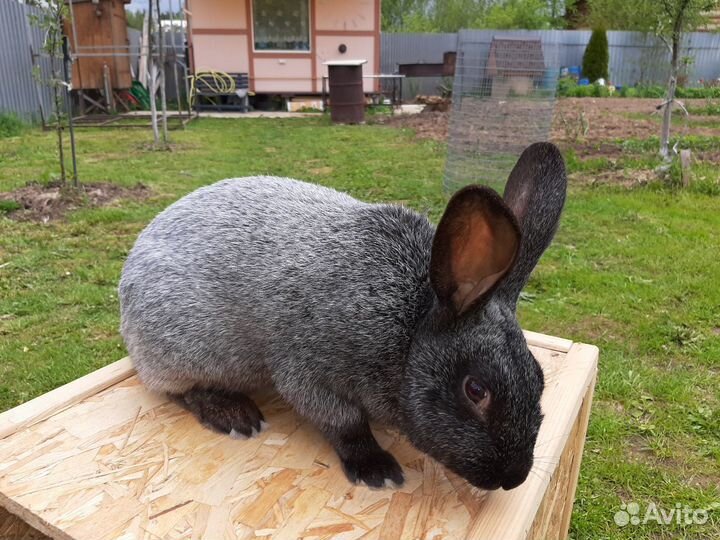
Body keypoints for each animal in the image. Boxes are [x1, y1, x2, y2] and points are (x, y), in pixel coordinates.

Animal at [119, 142, 567, 491]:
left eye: (539, 377)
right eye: (476, 390)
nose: (513, 477)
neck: (410, 328)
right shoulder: (308, 373)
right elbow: (345, 424)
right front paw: (376, 468)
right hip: (184, 351)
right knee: (175, 388)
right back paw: (233, 415)